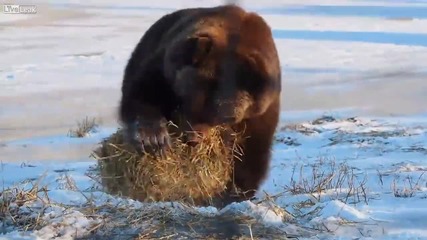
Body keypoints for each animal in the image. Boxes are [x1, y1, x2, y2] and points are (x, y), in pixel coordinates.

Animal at [118, 4, 282, 204]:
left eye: (223, 115)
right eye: (187, 100)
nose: (192, 139)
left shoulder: (261, 110)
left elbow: (251, 153)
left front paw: (233, 193)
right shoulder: (165, 67)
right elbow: (143, 93)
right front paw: (153, 137)